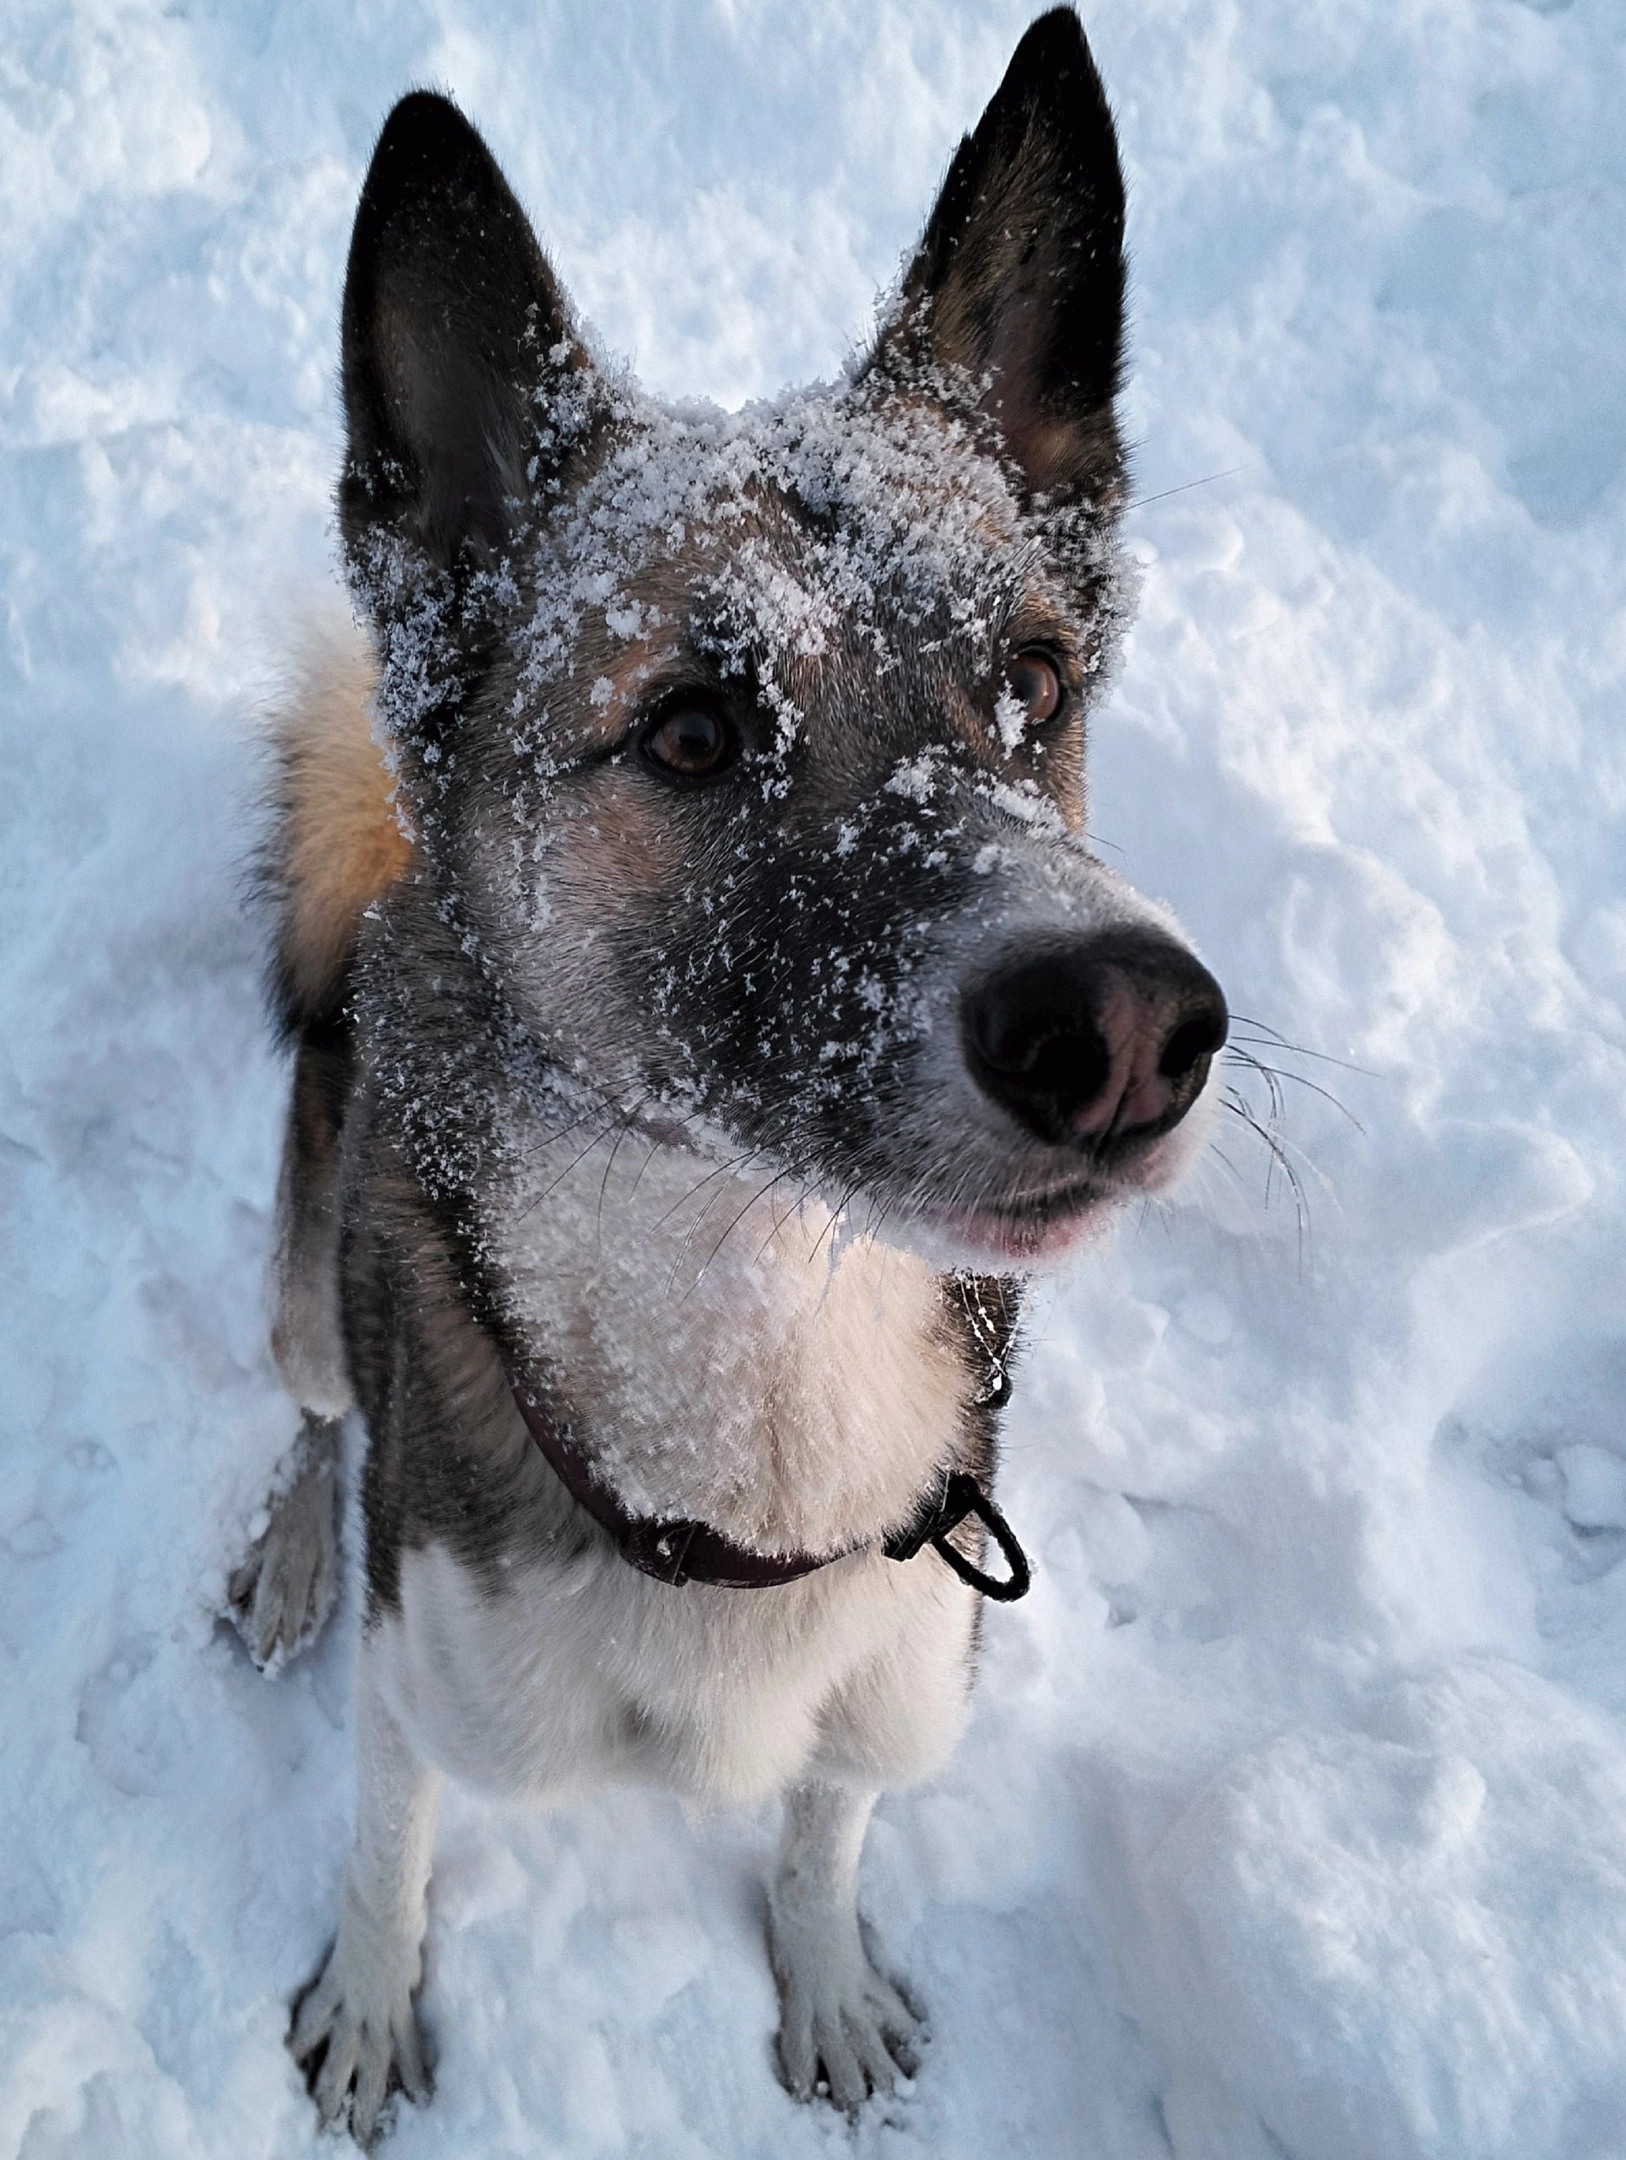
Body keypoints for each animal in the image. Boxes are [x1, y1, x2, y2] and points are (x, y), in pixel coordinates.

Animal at [225, 8, 1217, 2142]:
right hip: (309, 1283)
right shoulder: (422, 1697)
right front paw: (367, 2009)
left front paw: (826, 1988)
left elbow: (826, 1831)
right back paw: (280, 1559)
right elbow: (386, 1849)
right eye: (689, 731)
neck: (756, 1389)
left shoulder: (893, 1686)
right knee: (317, 1410)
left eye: (1031, 684)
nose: (1129, 1030)